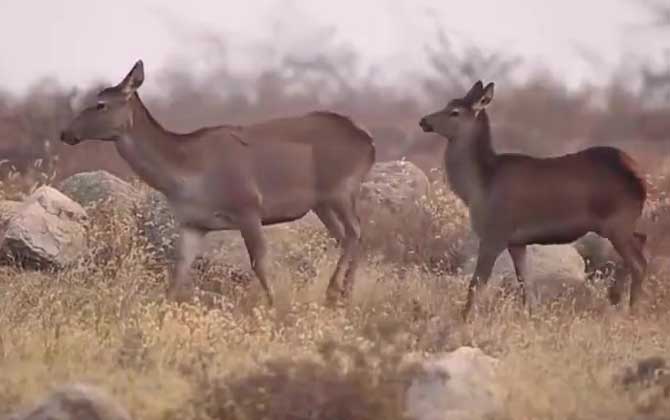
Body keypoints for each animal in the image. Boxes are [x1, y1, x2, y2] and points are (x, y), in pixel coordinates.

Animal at [59, 60, 376, 306]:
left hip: (340, 187)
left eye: (100, 104)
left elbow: (259, 263)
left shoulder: (248, 206)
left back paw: (335, 292)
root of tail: (369, 143)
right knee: (348, 236)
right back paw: (344, 294)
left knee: (354, 232)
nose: (65, 133)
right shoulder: (193, 223)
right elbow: (178, 274)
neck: (186, 177)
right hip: (321, 202)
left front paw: (274, 306)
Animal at [420, 80, 652, 320]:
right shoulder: (516, 241)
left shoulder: (495, 232)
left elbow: (477, 282)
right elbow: (525, 283)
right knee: (641, 240)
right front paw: (531, 316)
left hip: (617, 222)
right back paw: (617, 299)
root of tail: (640, 176)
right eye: (447, 103)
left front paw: (464, 318)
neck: (478, 188)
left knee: (639, 262)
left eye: (454, 112)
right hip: (620, 224)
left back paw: (633, 310)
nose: (424, 121)